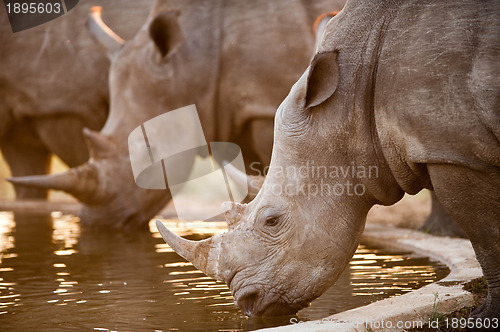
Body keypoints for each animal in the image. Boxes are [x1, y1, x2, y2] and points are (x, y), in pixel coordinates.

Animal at [156, 0, 500, 320]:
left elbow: (486, 237)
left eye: (271, 221)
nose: (247, 303)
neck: (349, 105)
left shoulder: (454, 152)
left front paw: (485, 314)